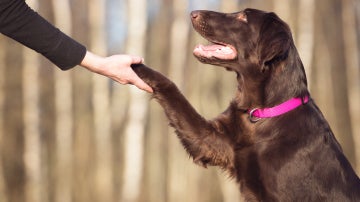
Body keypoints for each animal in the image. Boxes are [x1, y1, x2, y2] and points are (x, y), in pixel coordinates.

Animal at [131, 8, 358, 202]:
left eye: (243, 17)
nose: (193, 13)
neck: (262, 113)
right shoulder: (212, 140)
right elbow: (171, 88)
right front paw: (134, 66)